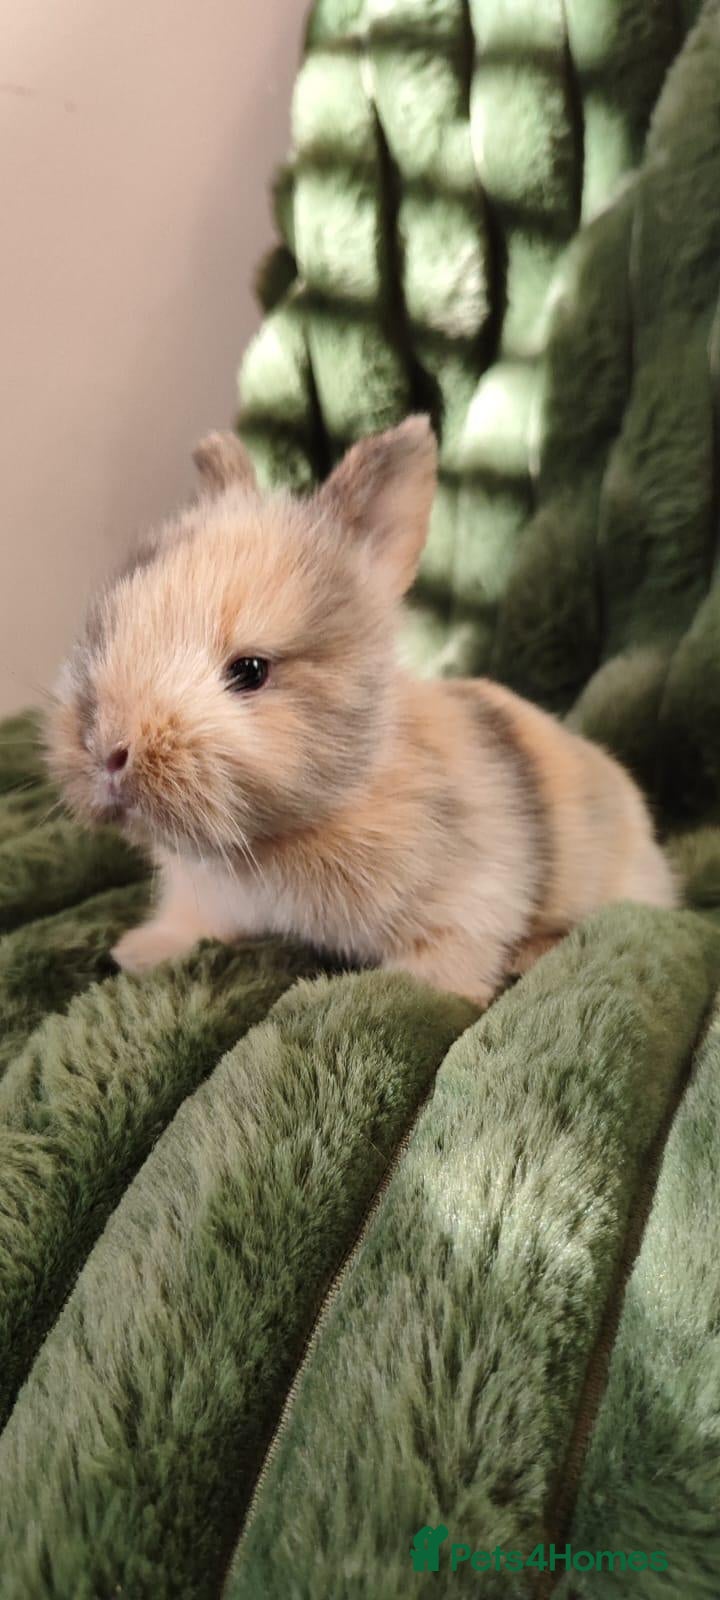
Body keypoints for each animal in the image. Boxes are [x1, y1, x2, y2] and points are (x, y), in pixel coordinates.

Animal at [47, 417, 677, 1007]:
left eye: (249, 671)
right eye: (105, 628)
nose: (108, 752)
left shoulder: (469, 901)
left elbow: (446, 963)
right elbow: (192, 924)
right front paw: (138, 951)